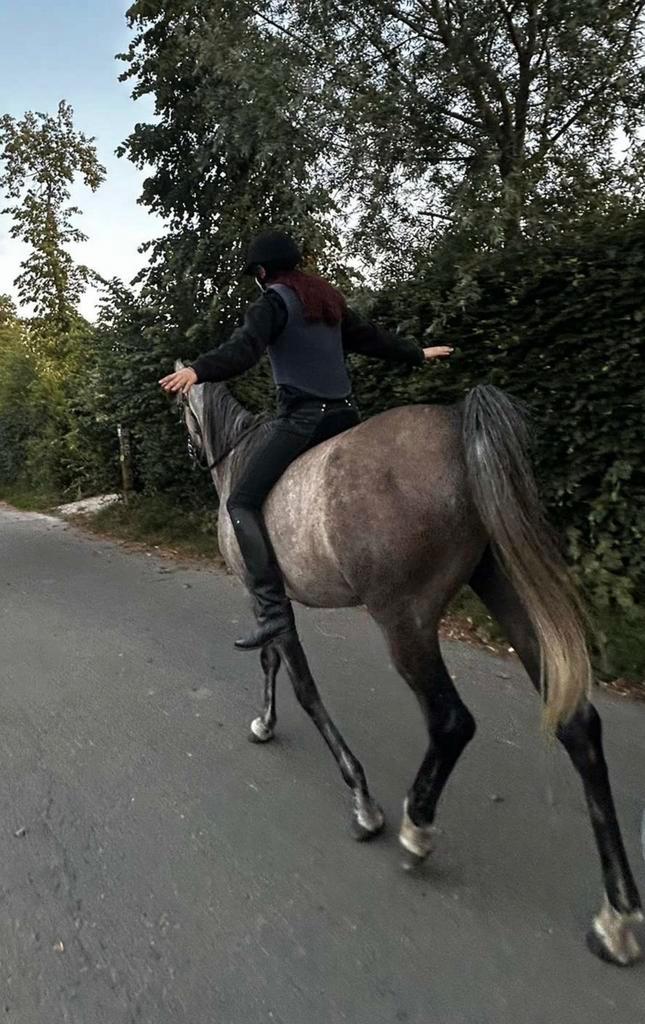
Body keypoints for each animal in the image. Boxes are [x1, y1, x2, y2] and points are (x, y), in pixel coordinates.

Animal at [177, 364, 642, 966]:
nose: (192, 452)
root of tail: (455, 426)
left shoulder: (267, 598)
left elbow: (300, 683)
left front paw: (362, 802)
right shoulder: (273, 603)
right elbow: (272, 662)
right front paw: (265, 723)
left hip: (406, 621)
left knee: (451, 722)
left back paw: (416, 830)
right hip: (503, 589)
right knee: (577, 726)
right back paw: (618, 917)